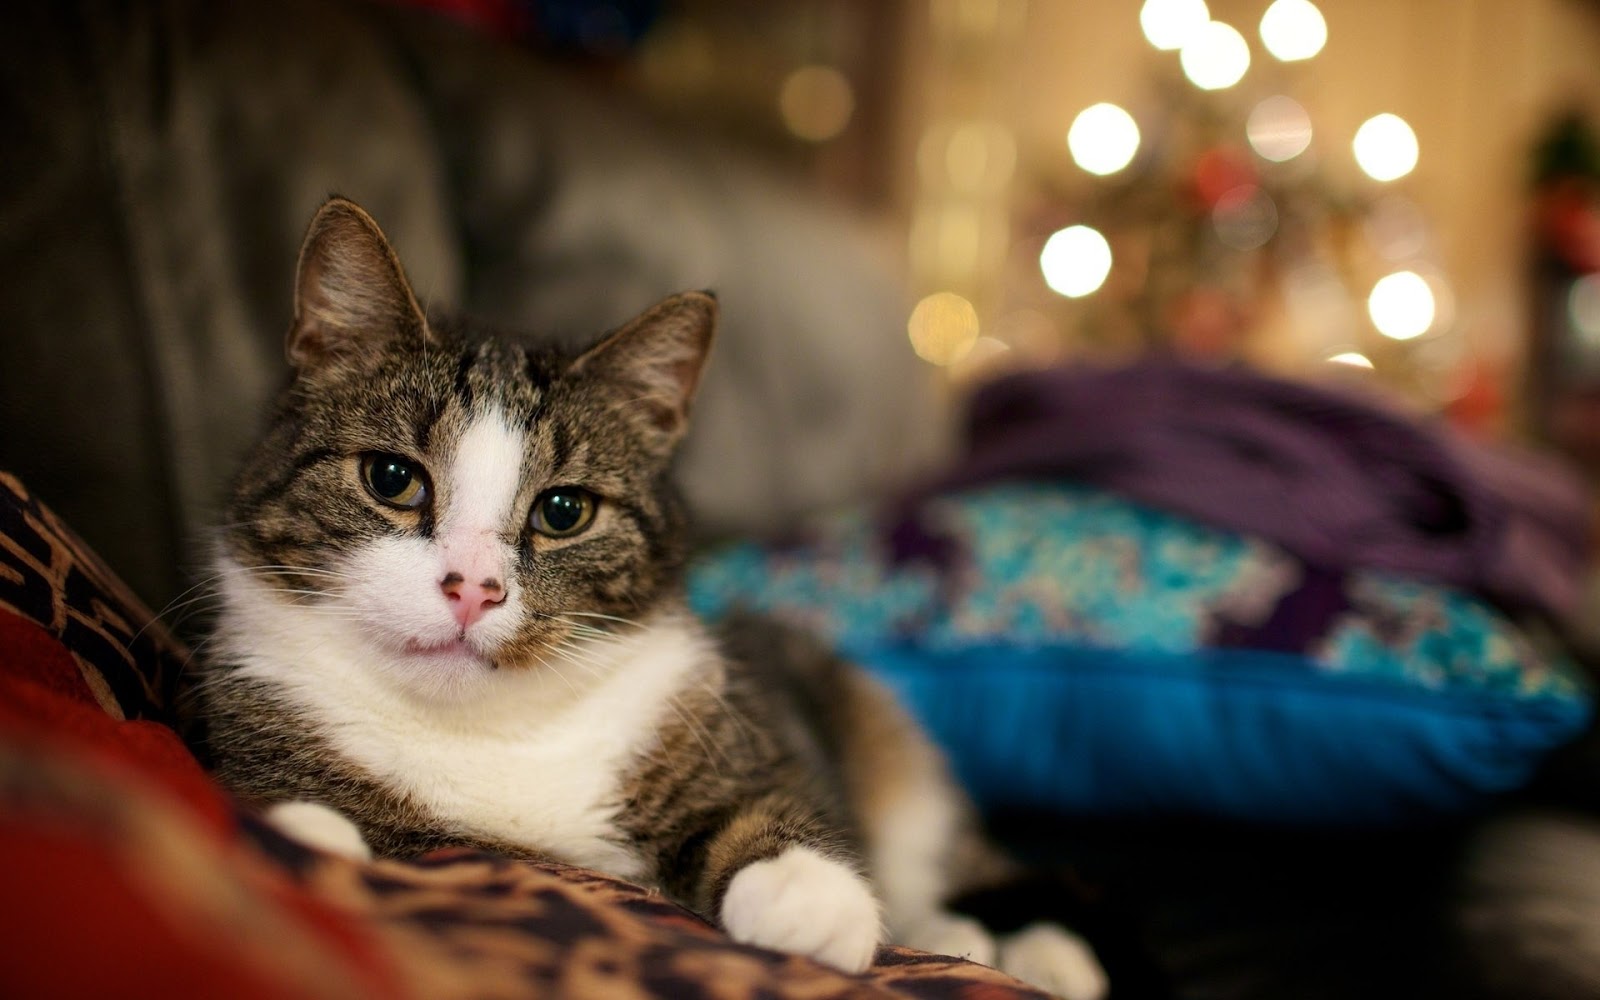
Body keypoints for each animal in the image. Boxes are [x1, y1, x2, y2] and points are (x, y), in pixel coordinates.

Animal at [196, 196, 1113, 998]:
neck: (490, 735)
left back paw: (1024, 950)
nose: (473, 590)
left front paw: (806, 895)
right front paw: (302, 834)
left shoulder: (742, 733)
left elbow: (767, 804)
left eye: (564, 511)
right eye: (391, 478)